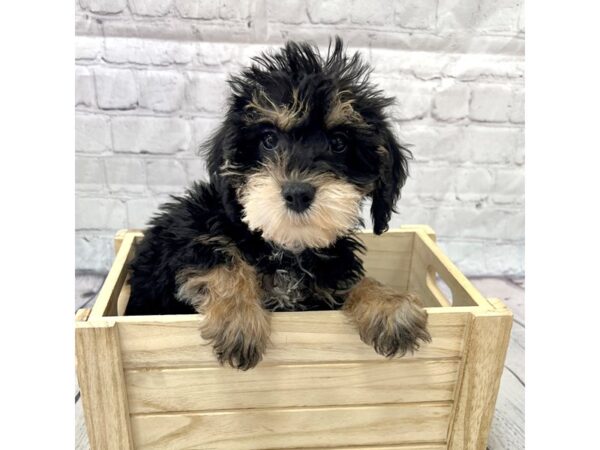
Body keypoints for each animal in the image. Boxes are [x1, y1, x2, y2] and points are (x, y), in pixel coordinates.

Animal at [125, 38, 432, 370]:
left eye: (339, 143)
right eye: (269, 140)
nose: (298, 192)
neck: (288, 248)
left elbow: (350, 282)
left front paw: (389, 303)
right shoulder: (186, 231)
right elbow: (220, 257)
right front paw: (239, 318)